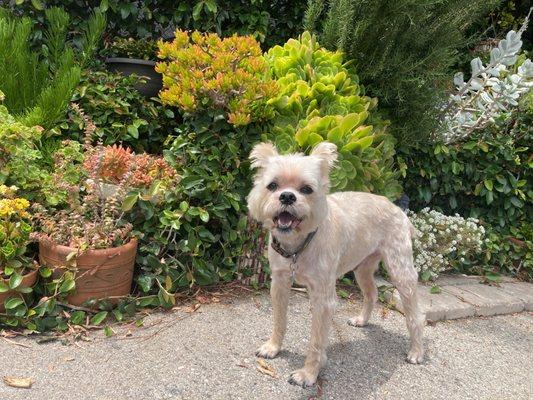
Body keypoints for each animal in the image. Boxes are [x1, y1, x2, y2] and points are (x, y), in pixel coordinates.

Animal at [246, 141, 424, 388]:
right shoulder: (279, 284)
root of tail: (397, 208)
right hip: (362, 269)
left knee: (415, 315)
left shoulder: (323, 299)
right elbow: (279, 320)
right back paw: (362, 320)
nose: (287, 197)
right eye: (272, 185)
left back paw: (416, 351)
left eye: (307, 189)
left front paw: (308, 374)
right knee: (371, 293)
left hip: (401, 273)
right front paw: (273, 347)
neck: (300, 244)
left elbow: (316, 340)